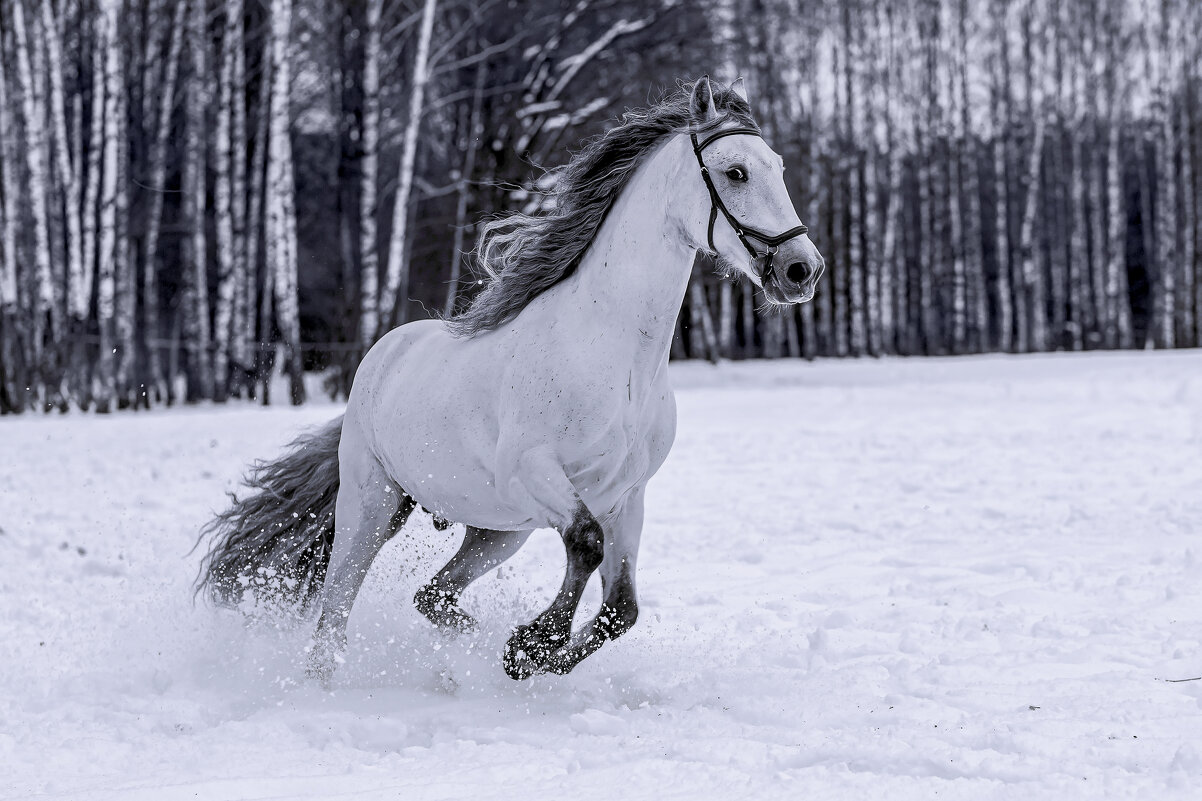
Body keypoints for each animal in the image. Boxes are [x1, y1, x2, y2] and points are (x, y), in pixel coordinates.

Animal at [197, 78, 822, 678]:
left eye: (778, 166)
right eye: (735, 171)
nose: (802, 269)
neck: (614, 357)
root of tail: (383, 355)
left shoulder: (625, 496)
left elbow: (621, 607)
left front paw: (530, 653)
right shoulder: (535, 470)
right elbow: (586, 544)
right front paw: (533, 644)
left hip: (500, 528)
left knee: (432, 596)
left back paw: (464, 649)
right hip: (371, 506)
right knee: (335, 611)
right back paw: (327, 680)